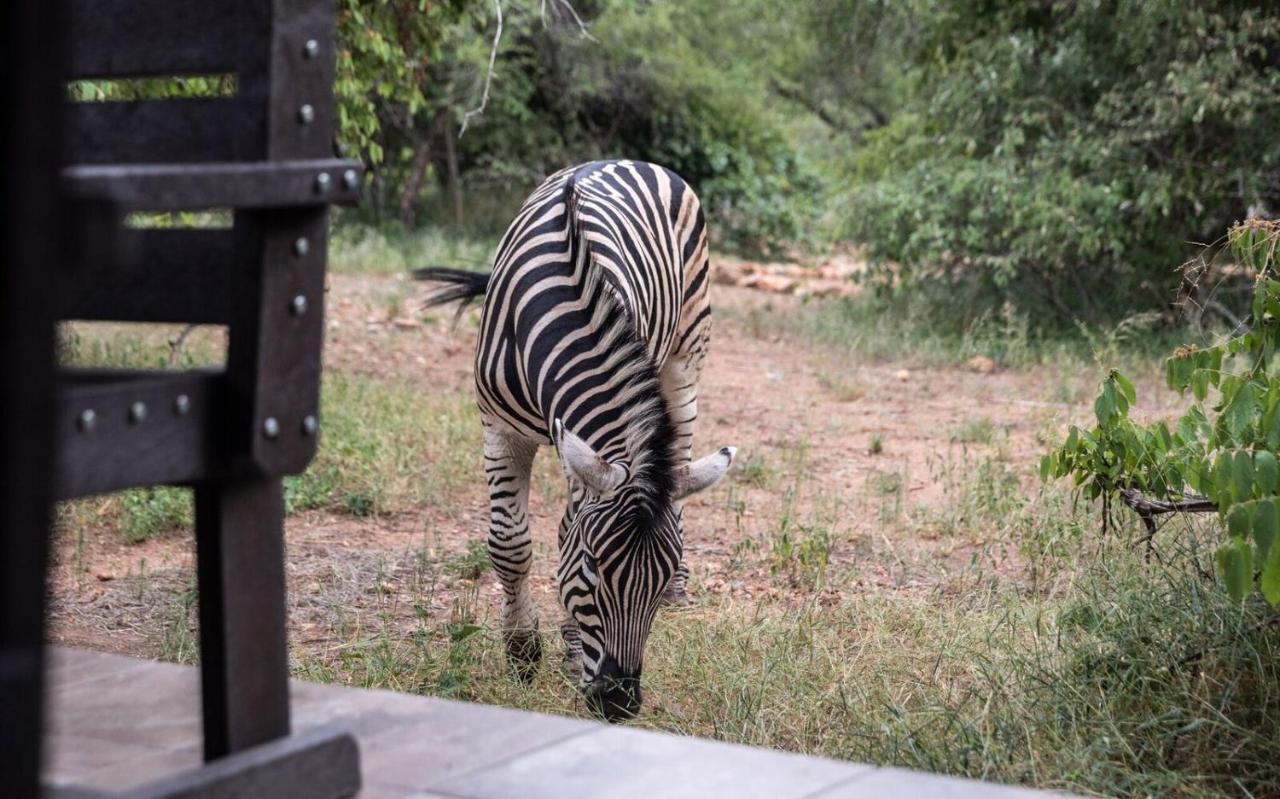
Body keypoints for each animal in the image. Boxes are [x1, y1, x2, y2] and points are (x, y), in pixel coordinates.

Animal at [414, 159, 737, 722]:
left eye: (654, 581)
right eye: (592, 567)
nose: (619, 704)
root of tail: (629, 159)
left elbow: (566, 530)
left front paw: (564, 649)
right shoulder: (500, 428)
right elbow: (510, 543)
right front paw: (522, 651)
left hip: (685, 356)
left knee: (679, 458)